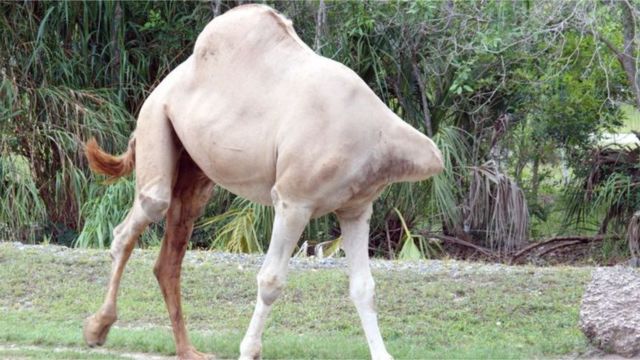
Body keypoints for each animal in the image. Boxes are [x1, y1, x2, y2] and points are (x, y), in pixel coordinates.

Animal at [82, 4, 442, 360]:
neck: (381, 137)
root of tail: (163, 85)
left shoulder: (356, 208)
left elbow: (364, 287)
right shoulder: (293, 199)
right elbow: (271, 281)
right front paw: (249, 350)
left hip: (194, 168)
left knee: (170, 252)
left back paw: (188, 350)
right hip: (155, 120)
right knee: (138, 218)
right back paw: (97, 328)